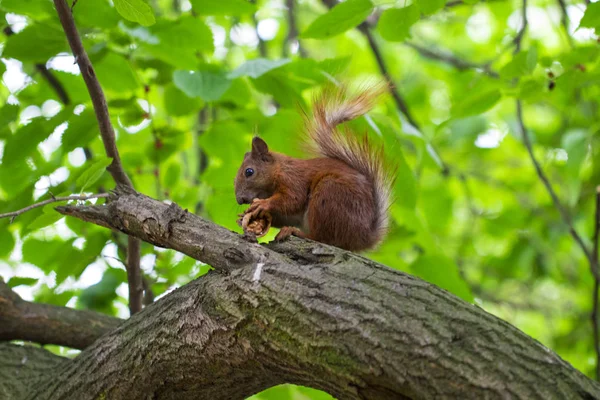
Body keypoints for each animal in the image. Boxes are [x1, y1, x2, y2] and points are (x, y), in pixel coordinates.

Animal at [233, 84, 394, 252]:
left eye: (249, 172)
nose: (240, 200)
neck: (279, 169)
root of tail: (362, 237)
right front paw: (243, 216)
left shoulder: (293, 180)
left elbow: (292, 199)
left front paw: (263, 204)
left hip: (328, 196)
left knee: (322, 238)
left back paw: (295, 232)